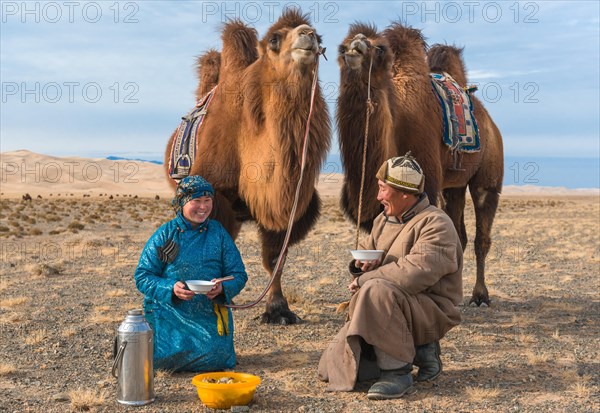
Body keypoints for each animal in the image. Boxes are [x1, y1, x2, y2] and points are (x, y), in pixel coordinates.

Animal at [164, 11, 330, 324]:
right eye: (275, 39)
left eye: (320, 36)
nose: (308, 34)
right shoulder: (216, 194)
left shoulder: (286, 203)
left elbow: (275, 258)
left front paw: (278, 310)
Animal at [338, 23, 502, 306]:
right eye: (343, 43)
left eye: (379, 48)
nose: (355, 45)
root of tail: (489, 121)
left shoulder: (427, 175)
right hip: (453, 184)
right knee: (459, 231)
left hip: (488, 174)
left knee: (481, 234)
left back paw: (480, 296)